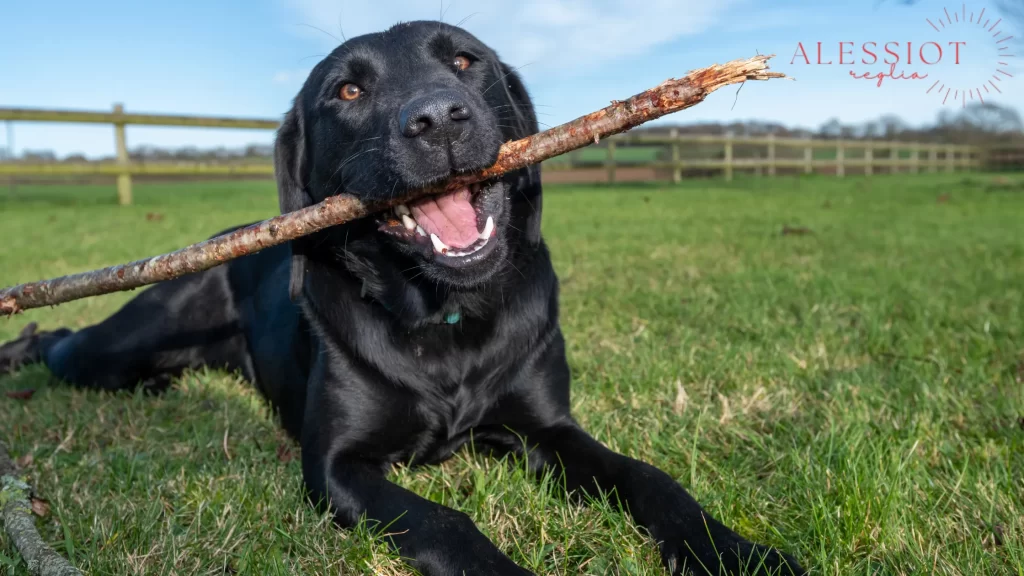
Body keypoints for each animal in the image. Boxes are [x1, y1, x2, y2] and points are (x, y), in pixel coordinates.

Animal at [0, 22, 802, 573]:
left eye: (466, 62)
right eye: (348, 91)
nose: (438, 118)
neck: (443, 317)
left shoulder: (550, 430)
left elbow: (652, 479)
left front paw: (740, 552)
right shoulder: (338, 466)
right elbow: (449, 523)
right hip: (121, 346)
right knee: (62, 341)